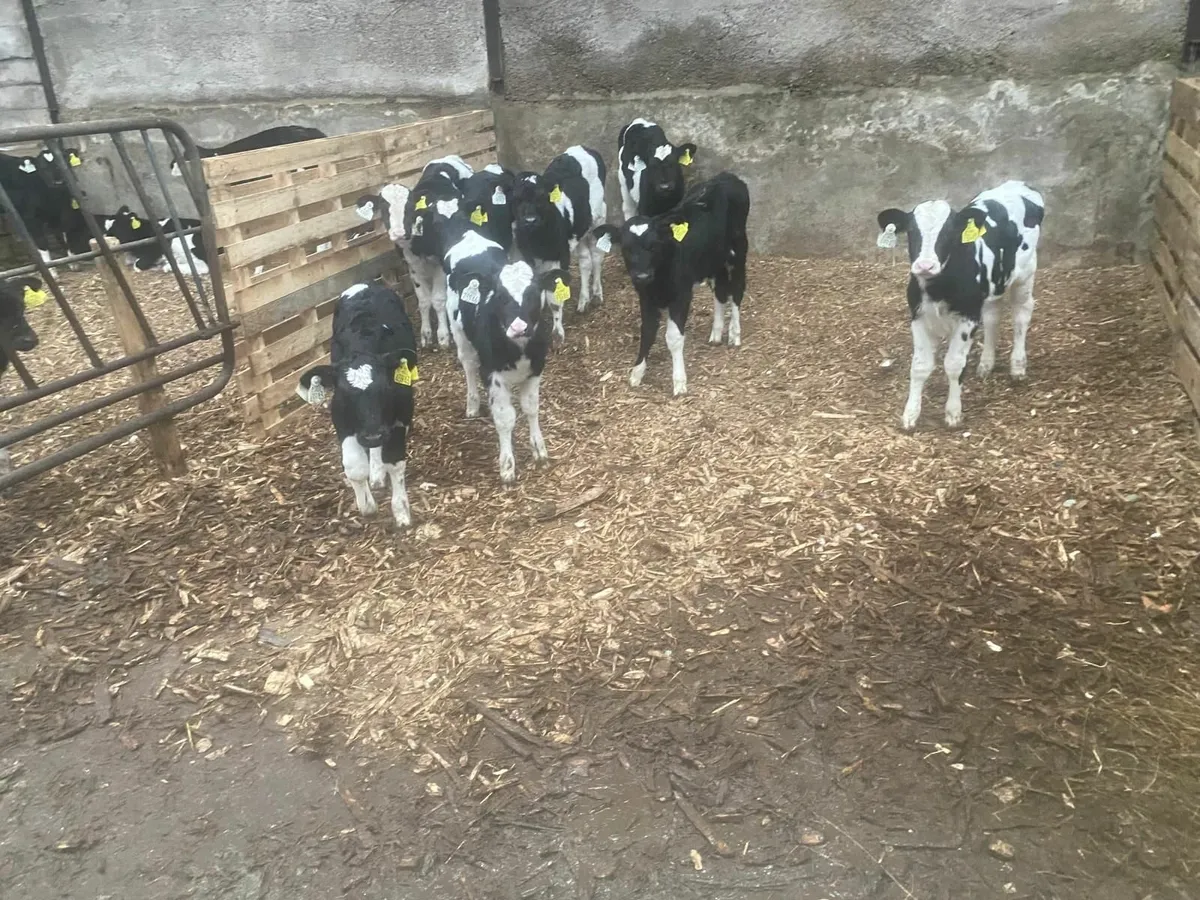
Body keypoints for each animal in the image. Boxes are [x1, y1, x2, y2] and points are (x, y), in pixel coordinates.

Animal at [295, 282, 418, 527]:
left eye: (386, 388)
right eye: (344, 393)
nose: (372, 435)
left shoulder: (401, 412)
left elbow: (394, 461)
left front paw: (401, 511)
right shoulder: (341, 417)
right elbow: (354, 466)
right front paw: (367, 505)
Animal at [442, 217, 568, 483]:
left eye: (533, 294)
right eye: (499, 295)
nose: (519, 327)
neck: (518, 350)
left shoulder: (536, 368)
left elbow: (531, 407)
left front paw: (539, 449)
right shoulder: (492, 374)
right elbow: (504, 417)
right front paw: (507, 465)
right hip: (459, 333)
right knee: (468, 365)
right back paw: (472, 404)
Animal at [511, 146, 607, 345]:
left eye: (542, 197)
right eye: (516, 199)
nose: (530, 220)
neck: (536, 242)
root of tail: (584, 148)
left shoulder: (559, 258)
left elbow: (554, 300)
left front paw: (557, 333)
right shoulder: (527, 259)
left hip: (599, 218)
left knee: (596, 257)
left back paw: (596, 294)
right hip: (579, 229)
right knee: (585, 261)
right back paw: (583, 301)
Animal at [594, 172, 750, 397]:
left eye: (653, 245)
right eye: (626, 248)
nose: (642, 275)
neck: (658, 280)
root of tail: (726, 176)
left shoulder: (681, 295)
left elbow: (674, 337)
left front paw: (679, 382)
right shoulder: (646, 296)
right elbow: (647, 331)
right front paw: (637, 373)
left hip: (738, 252)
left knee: (736, 290)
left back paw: (734, 334)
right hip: (713, 260)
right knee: (720, 292)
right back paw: (716, 333)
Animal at [876, 180, 1046, 430]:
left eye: (949, 232)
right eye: (912, 232)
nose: (925, 265)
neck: (938, 289)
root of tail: (1016, 183)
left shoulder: (968, 317)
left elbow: (954, 364)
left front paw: (953, 413)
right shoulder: (918, 316)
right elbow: (920, 366)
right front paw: (910, 415)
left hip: (1025, 275)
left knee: (1022, 314)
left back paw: (1018, 366)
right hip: (992, 288)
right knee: (993, 316)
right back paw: (986, 364)